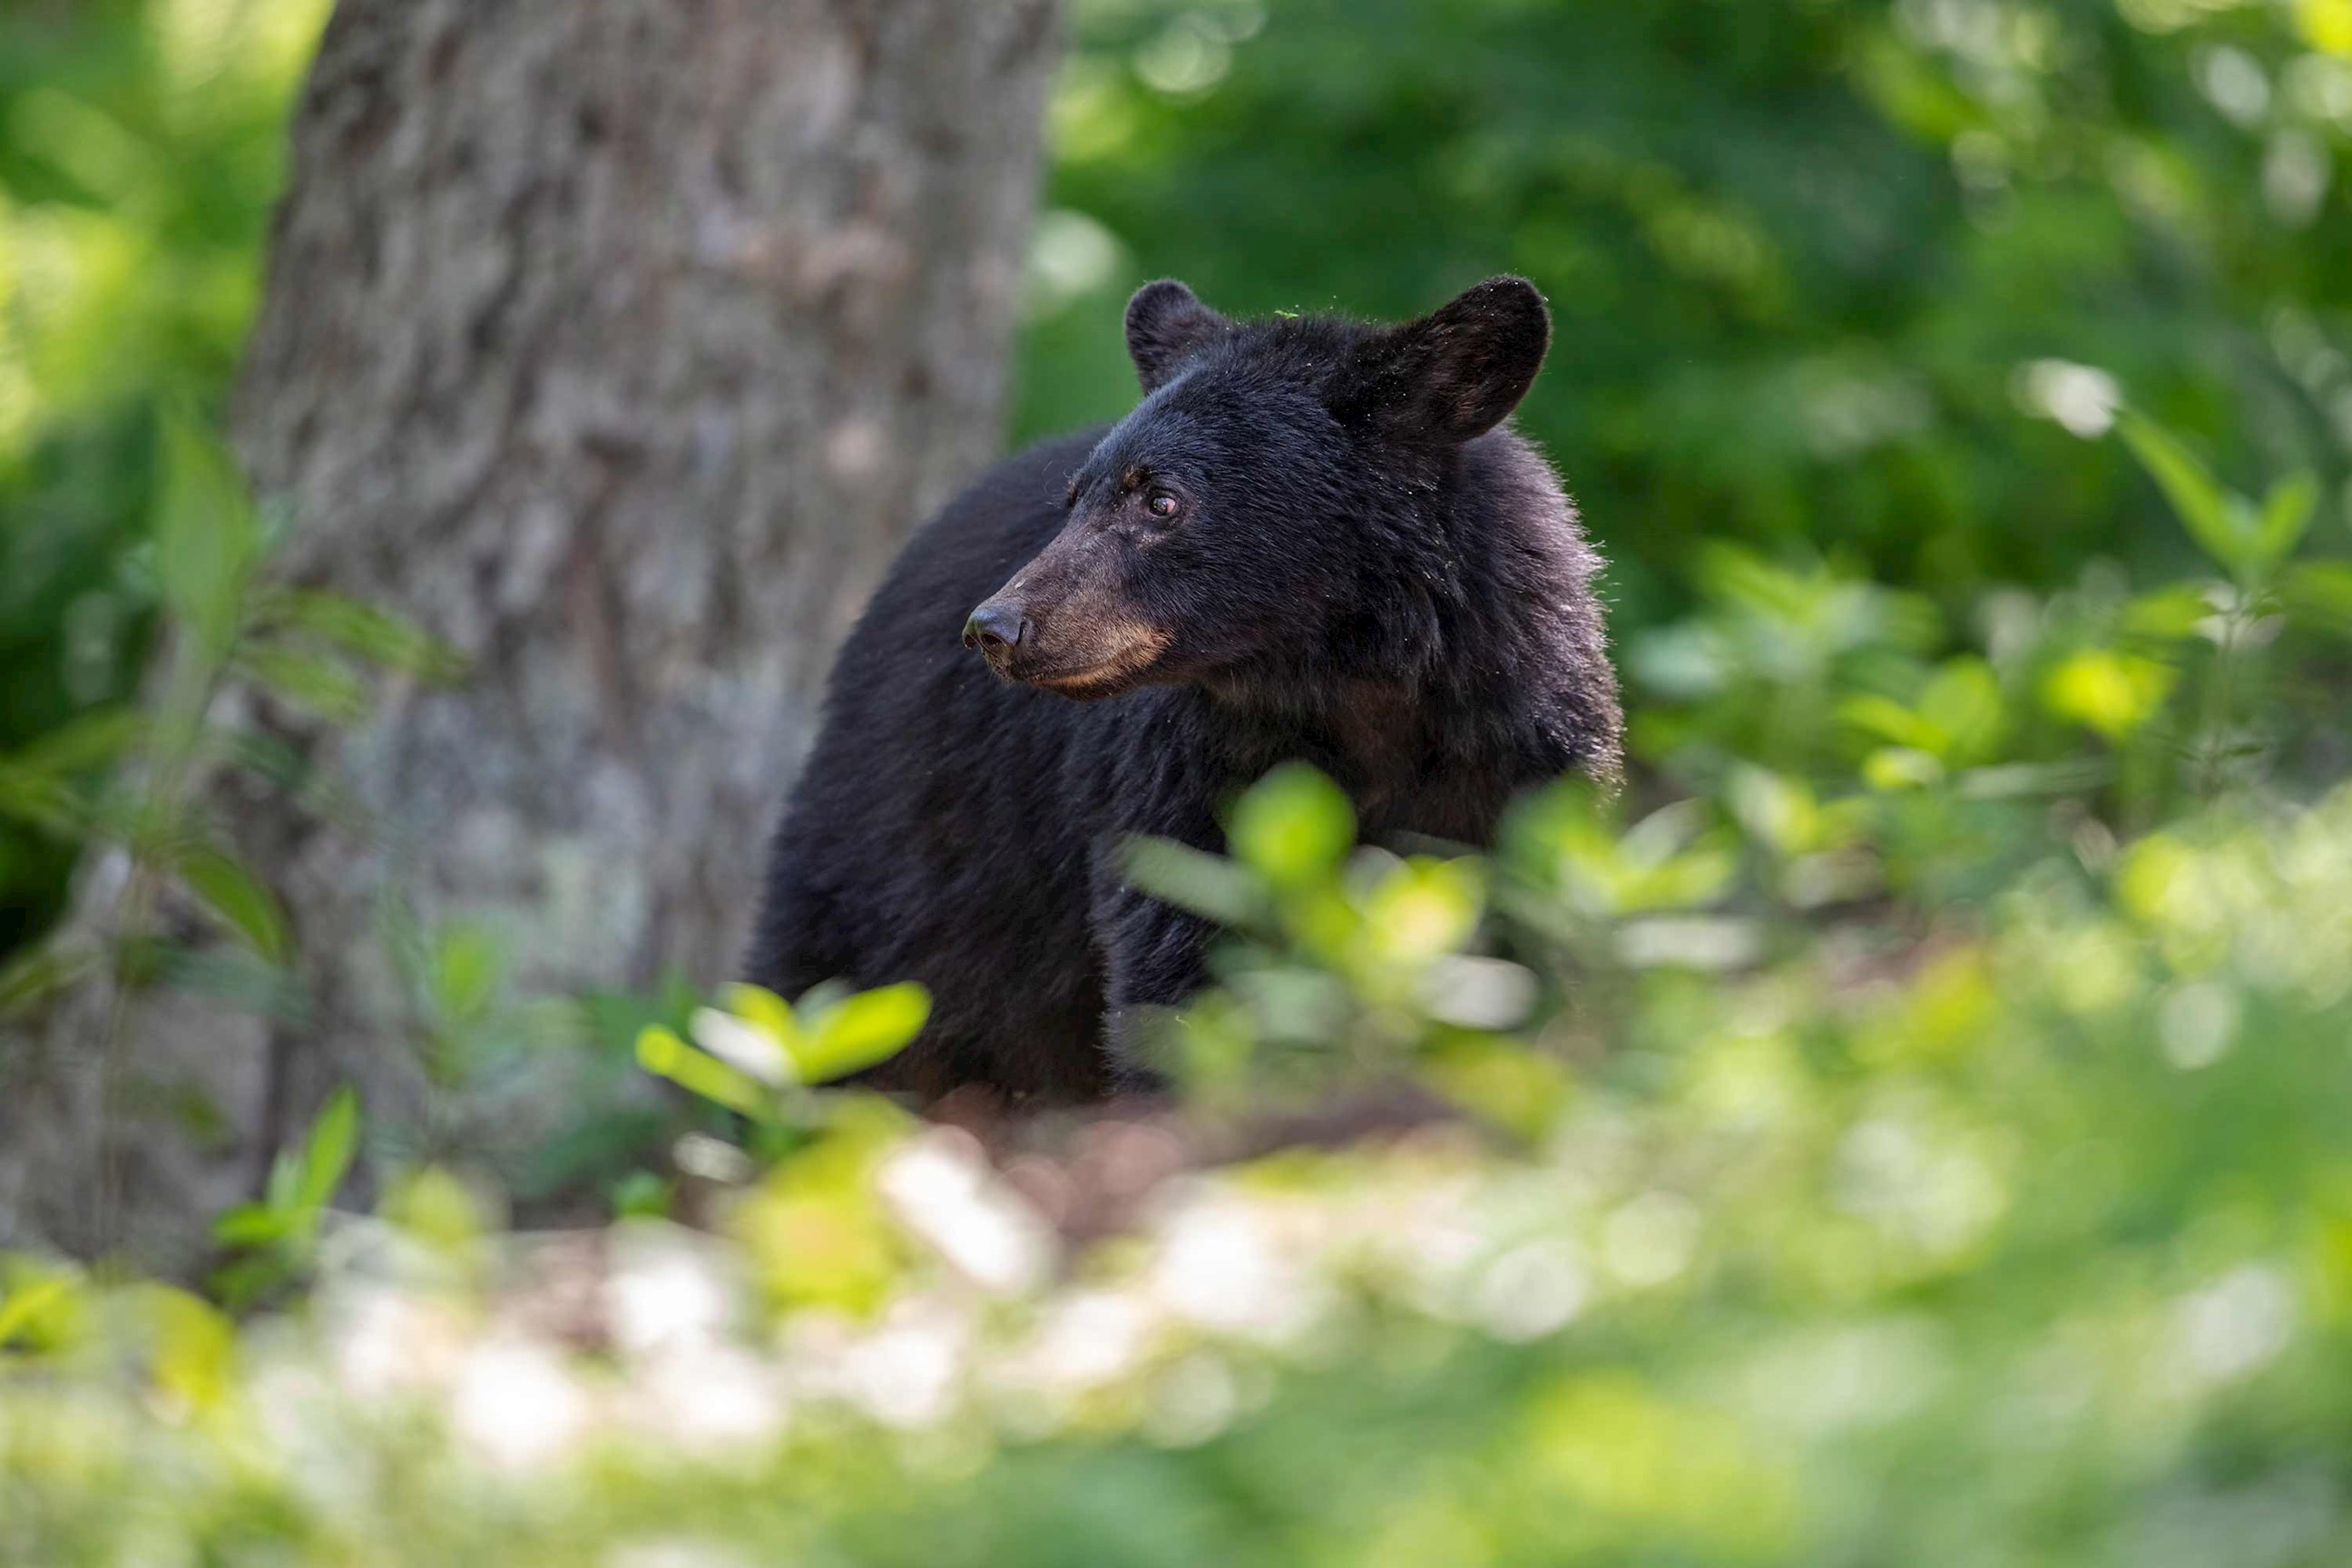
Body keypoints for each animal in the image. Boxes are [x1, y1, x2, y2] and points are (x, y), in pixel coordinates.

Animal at [746, 275, 1622, 1103]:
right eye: (1075, 499)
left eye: (1161, 498)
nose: (994, 627)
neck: (1353, 690)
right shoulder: (1186, 779)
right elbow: (1186, 967)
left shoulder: (1522, 756)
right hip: (907, 849)